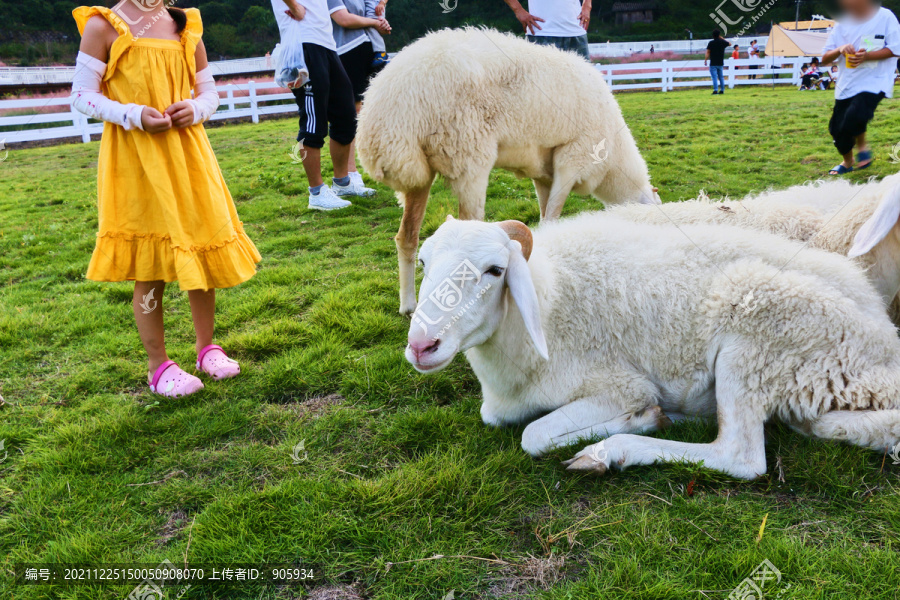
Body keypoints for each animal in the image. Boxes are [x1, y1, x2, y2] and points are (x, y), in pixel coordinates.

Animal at [358, 27, 660, 314]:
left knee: (406, 236)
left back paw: (408, 304)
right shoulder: (571, 158)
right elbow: (551, 217)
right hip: (469, 156)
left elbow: (545, 214)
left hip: (417, 175)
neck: (614, 163)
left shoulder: (544, 172)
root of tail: (387, 107)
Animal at [406, 216, 900, 478]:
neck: (548, 302)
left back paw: (615, 449)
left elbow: (535, 435)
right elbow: (498, 420)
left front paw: (637, 421)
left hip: (759, 330)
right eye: (423, 262)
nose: (421, 346)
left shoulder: (620, 385)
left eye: (494, 271)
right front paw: (650, 418)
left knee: (739, 455)